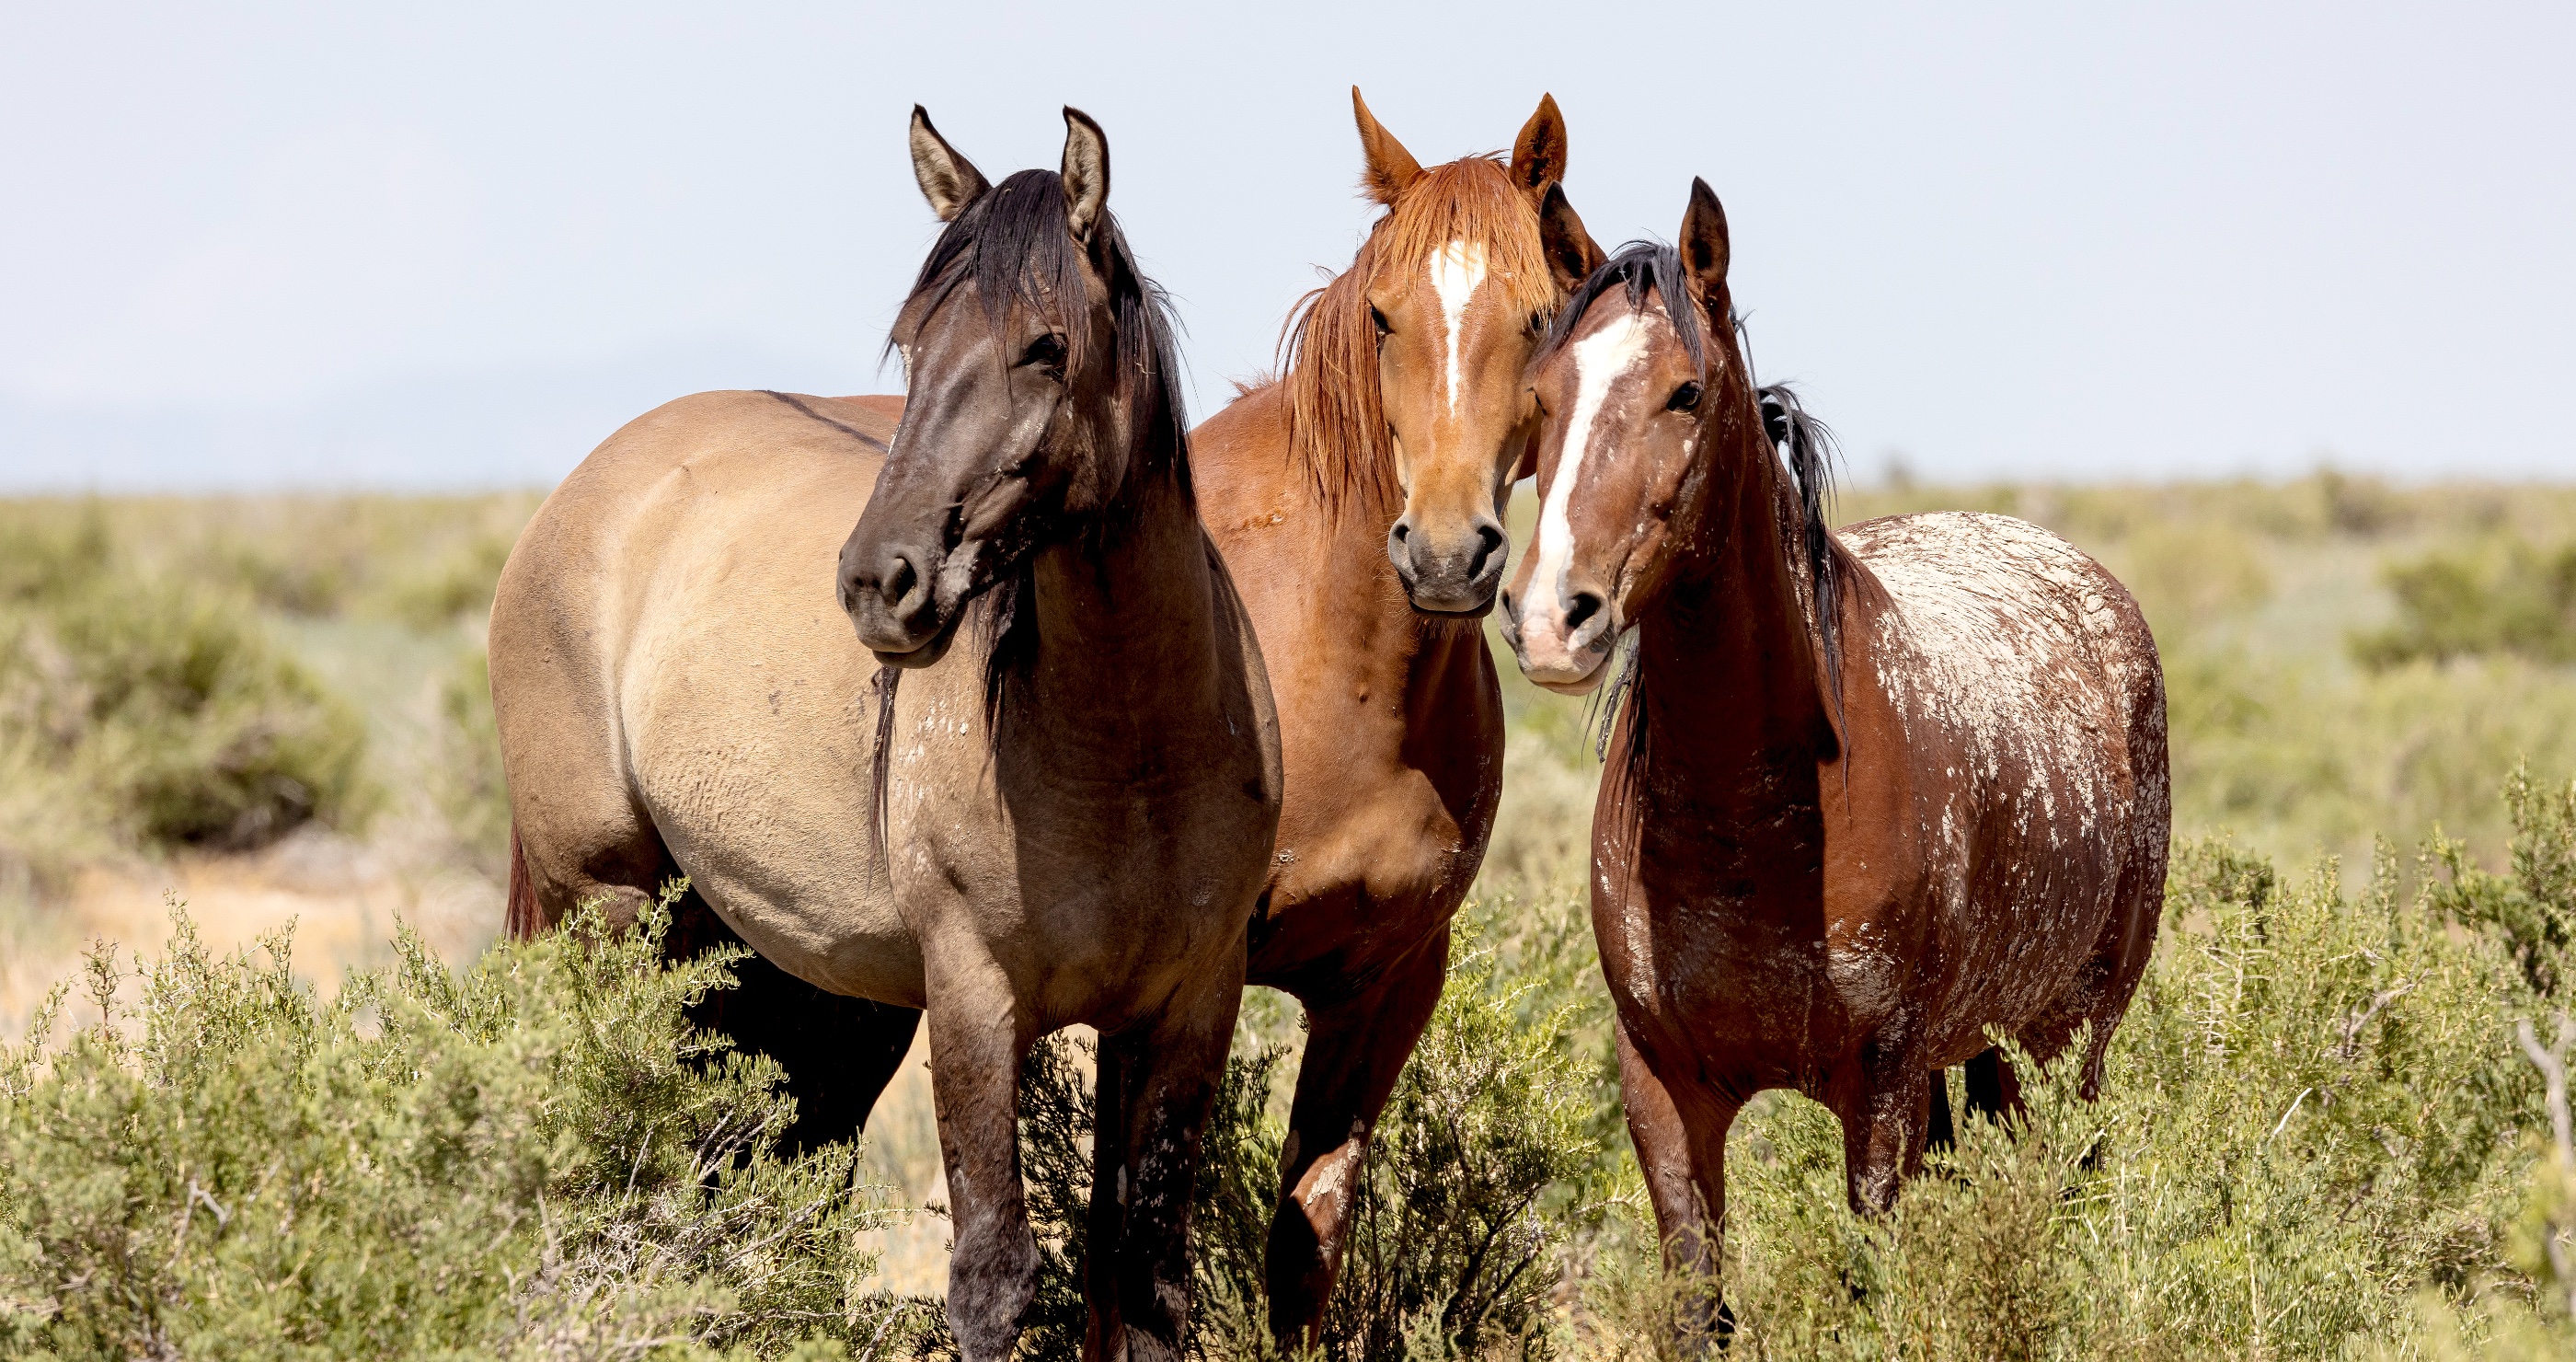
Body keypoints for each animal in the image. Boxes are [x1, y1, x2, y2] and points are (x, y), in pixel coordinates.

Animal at [489, 108, 1282, 1362]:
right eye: (913, 344)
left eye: (1044, 347)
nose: (879, 581)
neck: (1132, 754)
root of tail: (584, 491)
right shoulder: (973, 995)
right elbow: (993, 1277)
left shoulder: (1188, 1007)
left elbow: (1145, 1279)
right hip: (603, 912)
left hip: (787, 976)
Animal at [1498, 181, 2168, 1342]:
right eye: (1541, 394)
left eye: (1685, 392)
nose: (1550, 621)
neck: (1751, 820)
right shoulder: (1664, 1093)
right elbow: (1696, 1304)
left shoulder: (1878, 1090)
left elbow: (1869, 1287)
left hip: (2066, 1043)